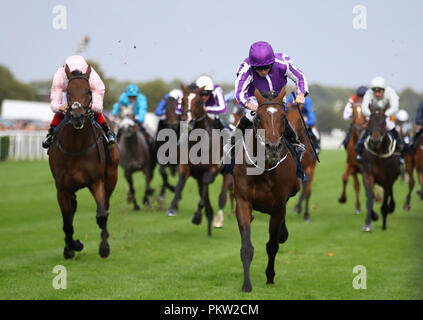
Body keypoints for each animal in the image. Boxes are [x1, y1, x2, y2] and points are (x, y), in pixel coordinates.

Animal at [48, 64, 120, 258]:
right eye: (68, 91)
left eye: (88, 91)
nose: (78, 116)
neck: (76, 147)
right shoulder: (62, 189)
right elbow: (67, 222)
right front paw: (72, 246)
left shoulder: (96, 181)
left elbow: (101, 215)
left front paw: (104, 247)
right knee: (71, 212)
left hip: (112, 176)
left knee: (106, 207)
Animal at [166, 84, 225, 236]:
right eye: (183, 100)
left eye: (198, 101)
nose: (188, 120)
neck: (199, 141)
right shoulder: (185, 167)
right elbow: (180, 184)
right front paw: (172, 207)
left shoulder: (212, 170)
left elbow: (204, 193)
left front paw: (197, 216)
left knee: (220, 196)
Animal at [234, 87, 304, 292]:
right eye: (258, 117)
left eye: (283, 116)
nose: (272, 147)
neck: (264, 170)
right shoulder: (243, 202)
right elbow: (247, 247)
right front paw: (246, 285)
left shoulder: (278, 207)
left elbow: (272, 245)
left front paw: (270, 276)